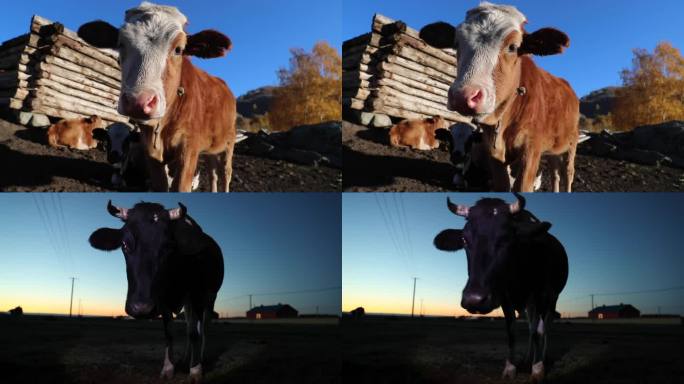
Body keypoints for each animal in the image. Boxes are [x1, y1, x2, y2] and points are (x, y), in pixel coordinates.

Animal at [78, 1, 235, 190]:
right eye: (121, 44)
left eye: (179, 49)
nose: (137, 102)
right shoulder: (150, 153)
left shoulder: (189, 148)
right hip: (212, 147)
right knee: (212, 173)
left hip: (229, 143)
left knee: (225, 173)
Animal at [88, 201, 224, 380]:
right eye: (124, 244)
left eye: (168, 247)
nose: (141, 308)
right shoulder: (162, 299)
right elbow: (169, 333)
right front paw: (168, 368)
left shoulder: (193, 292)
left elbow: (195, 334)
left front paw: (195, 370)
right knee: (190, 326)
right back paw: (185, 358)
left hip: (210, 296)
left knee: (204, 328)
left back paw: (201, 358)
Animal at [420, 2, 580, 192]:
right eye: (457, 43)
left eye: (513, 47)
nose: (462, 96)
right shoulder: (493, 152)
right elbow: (502, 185)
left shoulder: (531, 149)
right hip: (553, 149)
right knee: (555, 173)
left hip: (572, 143)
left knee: (567, 174)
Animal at [436, 194, 568, 382]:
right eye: (464, 240)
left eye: (506, 238)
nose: (474, 300)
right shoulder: (505, 296)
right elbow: (512, 332)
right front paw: (511, 367)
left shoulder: (540, 293)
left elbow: (539, 332)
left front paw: (537, 369)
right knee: (531, 327)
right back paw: (527, 358)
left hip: (552, 298)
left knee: (544, 327)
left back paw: (542, 357)